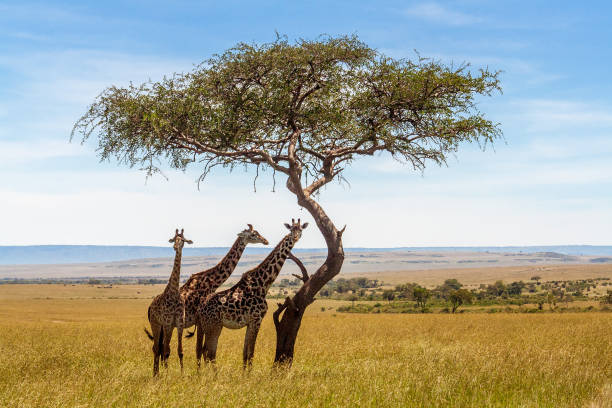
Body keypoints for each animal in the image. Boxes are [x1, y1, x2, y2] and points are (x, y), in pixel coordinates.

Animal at [143, 228, 191, 374]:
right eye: (173, 239)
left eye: (183, 240)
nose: (175, 247)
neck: (174, 292)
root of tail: (150, 307)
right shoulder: (168, 323)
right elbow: (165, 350)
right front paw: (166, 374)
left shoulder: (179, 323)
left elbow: (180, 350)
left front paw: (182, 374)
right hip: (156, 324)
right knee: (157, 347)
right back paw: (156, 373)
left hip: (163, 327)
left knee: (161, 347)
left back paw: (158, 372)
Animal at [196, 218, 308, 368]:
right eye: (291, 230)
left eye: (300, 229)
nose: (295, 237)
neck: (263, 284)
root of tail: (200, 309)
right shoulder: (257, 319)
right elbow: (251, 354)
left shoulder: (250, 323)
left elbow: (245, 354)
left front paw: (244, 373)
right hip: (213, 325)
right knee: (210, 353)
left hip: (206, 326)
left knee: (203, 351)